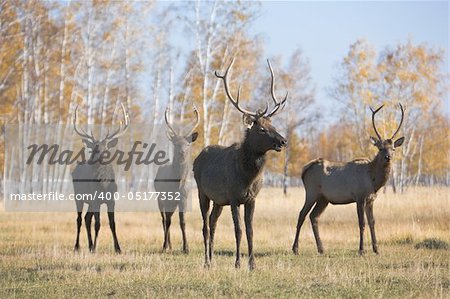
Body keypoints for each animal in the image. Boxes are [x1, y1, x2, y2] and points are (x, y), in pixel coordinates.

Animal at [71, 104, 129, 254]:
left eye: (105, 148)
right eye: (93, 148)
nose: (92, 160)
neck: (103, 186)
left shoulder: (111, 200)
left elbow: (112, 223)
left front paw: (118, 249)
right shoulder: (96, 200)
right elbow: (97, 224)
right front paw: (95, 248)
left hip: (90, 202)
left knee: (87, 218)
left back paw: (89, 245)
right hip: (79, 197)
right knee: (79, 219)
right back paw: (77, 246)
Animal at [154, 104, 200, 254]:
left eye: (188, 144)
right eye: (176, 144)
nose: (182, 152)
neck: (177, 184)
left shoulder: (184, 198)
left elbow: (182, 221)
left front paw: (186, 248)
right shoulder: (167, 197)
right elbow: (168, 221)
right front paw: (164, 247)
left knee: (169, 218)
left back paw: (170, 245)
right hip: (160, 198)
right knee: (164, 219)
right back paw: (167, 245)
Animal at [193, 57, 288, 270]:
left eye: (273, 125)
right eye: (261, 129)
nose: (283, 141)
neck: (247, 176)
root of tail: (197, 158)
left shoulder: (251, 199)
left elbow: (250, 230)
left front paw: (252, 264)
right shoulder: (234, 197)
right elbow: (238, 230)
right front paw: (237, 263)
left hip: (219, 200)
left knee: (213, 223)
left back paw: (212, 259)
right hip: (203, 192)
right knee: (204, 226)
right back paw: (206, 262)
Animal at [292, 104, 404, 256]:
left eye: (393, 148)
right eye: (380, 148)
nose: (388, 157)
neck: (373, 181)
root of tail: (304, 170)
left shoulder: (371, 199)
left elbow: (372, 222)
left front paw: (376, 249)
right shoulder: (360, 196)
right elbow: (362, 223)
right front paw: (361, 250)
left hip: (323, 198)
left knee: (314, 216)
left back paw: (321, 249)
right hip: (311, 192)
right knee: (302, 214)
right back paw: (295, 249)